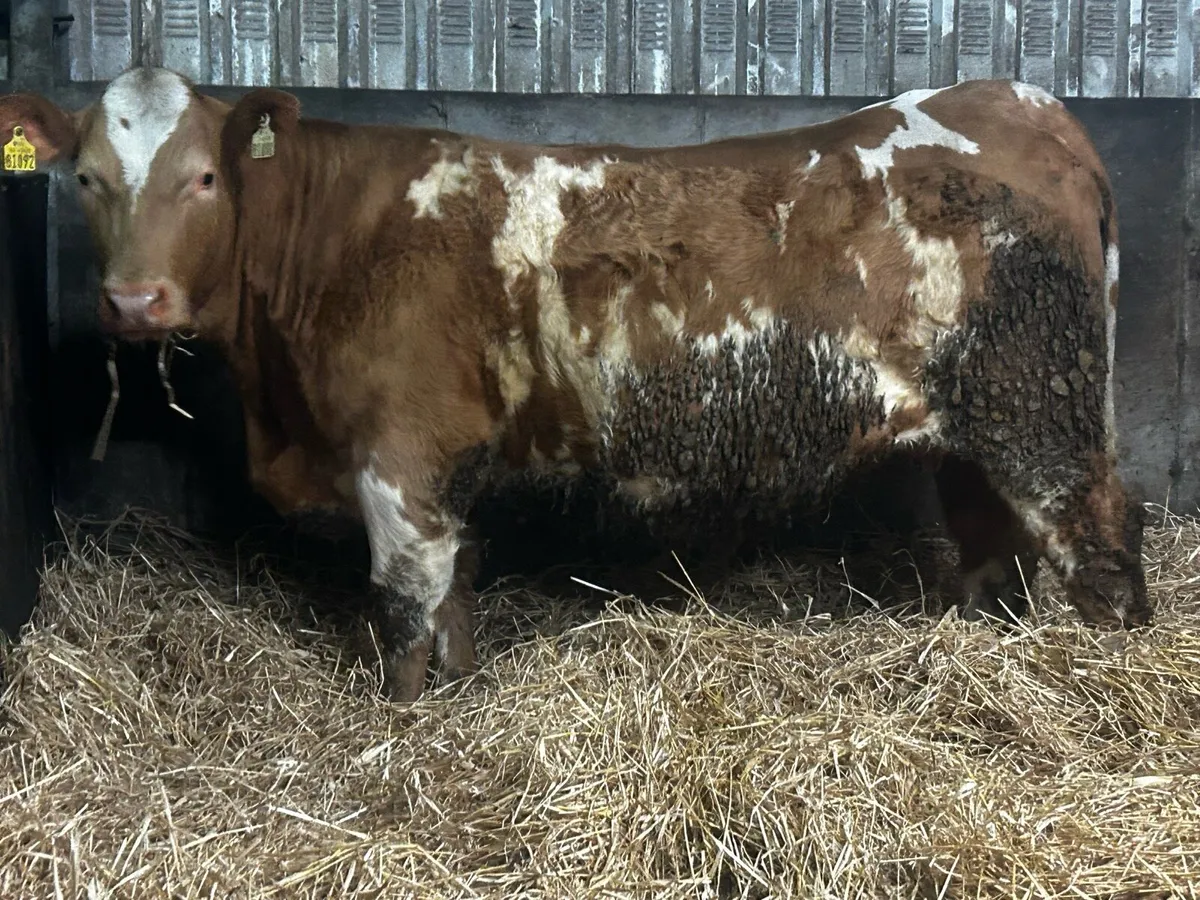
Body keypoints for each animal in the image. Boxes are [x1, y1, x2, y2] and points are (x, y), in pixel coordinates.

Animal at [0, 67, 1150, 701]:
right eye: (86, 179)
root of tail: (1021, 102)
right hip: (976, 430)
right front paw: (458, 691)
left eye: (203, 177)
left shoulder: (399, 455)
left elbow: (406, 610)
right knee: (992, 551)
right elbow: (455, 594)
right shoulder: (444, 464)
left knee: (1101, 545)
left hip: (1044, 418)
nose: (134, 301)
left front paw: (399, 728)